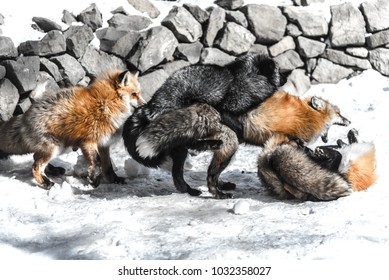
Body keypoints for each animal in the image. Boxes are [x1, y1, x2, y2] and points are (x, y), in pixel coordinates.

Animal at [0, 69, 144, 190]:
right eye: (134, 94)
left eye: (139, 93)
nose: (144, 104)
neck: (106, 103)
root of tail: (25, 116)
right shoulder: (88, 141)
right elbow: (97, 161)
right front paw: (94, 180)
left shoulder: (104, 143)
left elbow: (107, 166)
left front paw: (114, 179)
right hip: (55, 147)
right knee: (36, 166)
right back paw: (45, 183)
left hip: (60, 148)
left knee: (36, 158)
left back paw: (52, 171)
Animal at [126, 91, 348, 198]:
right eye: (339, 113)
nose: (349, 120)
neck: (307, 115)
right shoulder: (278, 132)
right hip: (230, 142)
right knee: (210, 175)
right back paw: (218, 193)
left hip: (189, 149)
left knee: (179, 174)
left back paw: (195, 189)